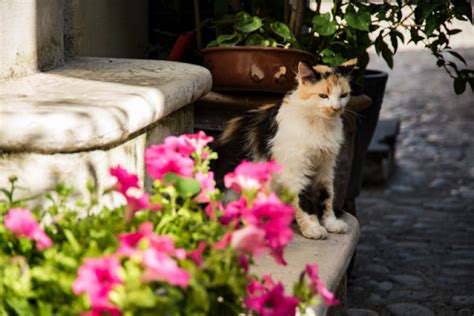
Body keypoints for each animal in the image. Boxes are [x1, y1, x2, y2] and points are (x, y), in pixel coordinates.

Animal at [215, 58, 356, 238]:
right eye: (323, 96)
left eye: (343, 95)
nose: (336, 107)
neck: (319, 124)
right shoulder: (294, 170)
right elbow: (302, 200)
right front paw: (312, 228)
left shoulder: (325, 167)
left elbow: (326, 196)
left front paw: (331, 223)